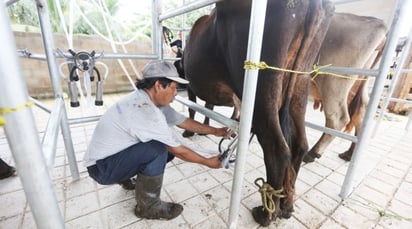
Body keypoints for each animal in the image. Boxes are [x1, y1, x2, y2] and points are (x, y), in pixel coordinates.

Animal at [183, 0, 334, 225]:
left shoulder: (190, 86)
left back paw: (266, 214)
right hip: (300, 83)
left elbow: (194, 108)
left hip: (262, 92)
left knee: (277, 149)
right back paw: (287, 206)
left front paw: (190, 131)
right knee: (299, 145)